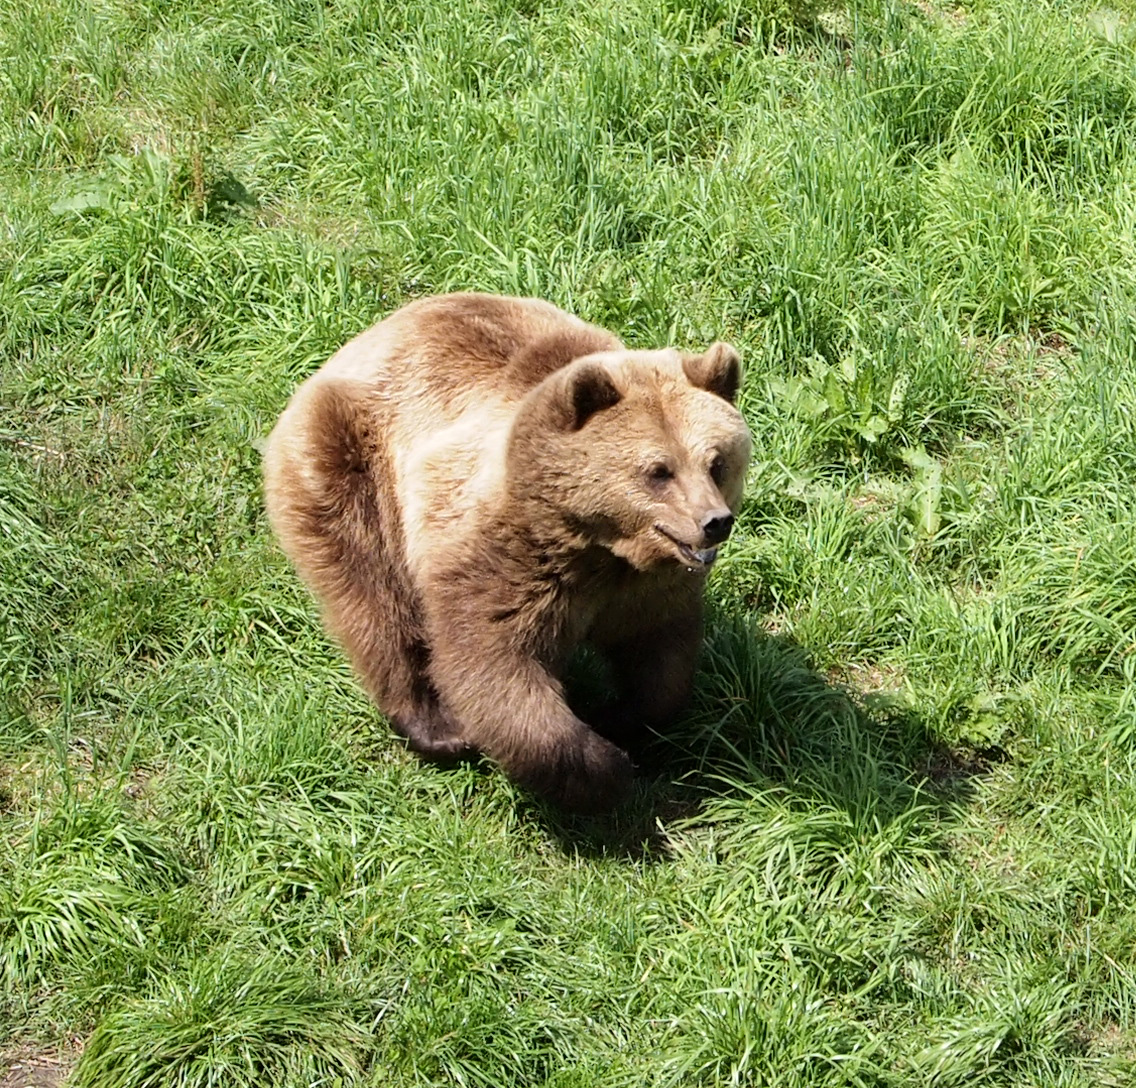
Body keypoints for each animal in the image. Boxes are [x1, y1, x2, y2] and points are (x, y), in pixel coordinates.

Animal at [262, 293, 751, 813]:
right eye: (659, 471)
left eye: (717, 462)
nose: (714, 521)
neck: (597, 545)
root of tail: (361, 340)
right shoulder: (500, 555)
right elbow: (495, 664)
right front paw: (607, 767)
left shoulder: (648, 588)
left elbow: (662, 663)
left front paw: (617, 717)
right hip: (349, 468)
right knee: (374, 600)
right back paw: (434, 727)